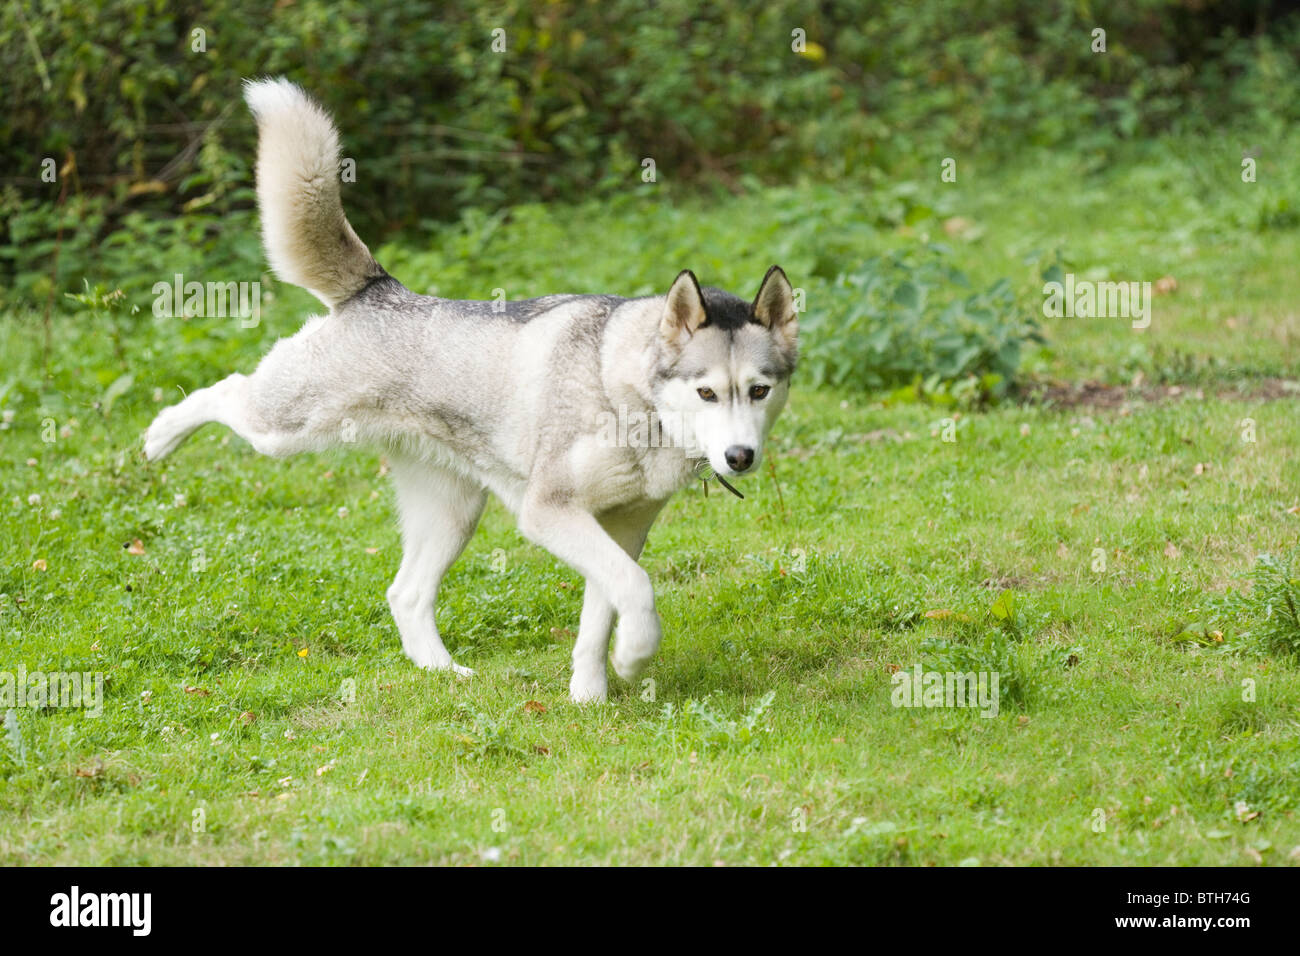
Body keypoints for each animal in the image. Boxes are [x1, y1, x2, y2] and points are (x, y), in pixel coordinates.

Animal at [139, 76, 790, 702]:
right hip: (285, 426)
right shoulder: (549, 512)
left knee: (405, 593)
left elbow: (603, 612)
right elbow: (636, 589)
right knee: (223, 389)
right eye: (706, 394)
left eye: (759, 391)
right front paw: (634, 656)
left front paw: (591, 692)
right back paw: (159, 437)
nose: (739, 456)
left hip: (451, 512)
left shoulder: (622, 530)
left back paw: (442, 671)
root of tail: (380, 286)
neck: (626, 395)